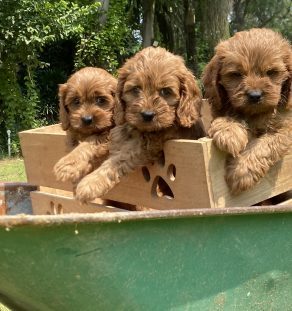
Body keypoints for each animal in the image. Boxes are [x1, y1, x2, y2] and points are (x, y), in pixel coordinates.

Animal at [76, 45, 205, 202]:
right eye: (136, 89)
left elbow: (118, 159)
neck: (140, 130)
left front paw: (89, 184)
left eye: (166, 91)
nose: (147, 115)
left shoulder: (147, 145)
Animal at [203, 29, 292, 195]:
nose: (255, 95)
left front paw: (241, 171)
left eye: (271, 72)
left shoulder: (285, 129)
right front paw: (229, 133)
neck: (255, 114)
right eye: (236, 74)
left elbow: (264, 145)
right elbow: (230, 115)